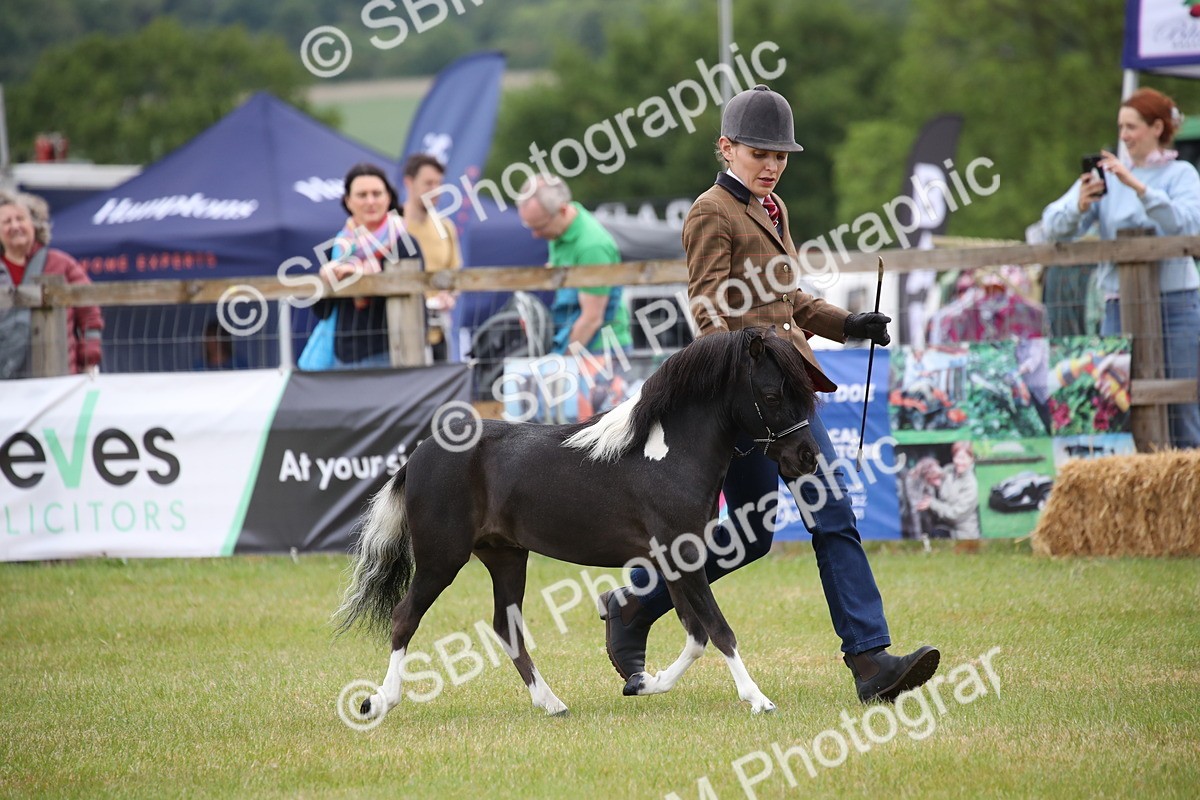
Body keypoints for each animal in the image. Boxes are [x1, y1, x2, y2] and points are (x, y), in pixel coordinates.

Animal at [335, 326, 820, 720]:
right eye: (772, 396)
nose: (806, 458)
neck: (667, 456)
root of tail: (419, 454)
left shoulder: (677, 560)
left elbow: (697, 633)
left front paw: (641, 682)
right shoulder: (681, 553)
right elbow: (719, 630)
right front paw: (759, 700)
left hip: (505, 556)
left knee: (505, 628)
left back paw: (552, 703)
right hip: (442, 558)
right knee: (405, 617)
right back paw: (378, 701)